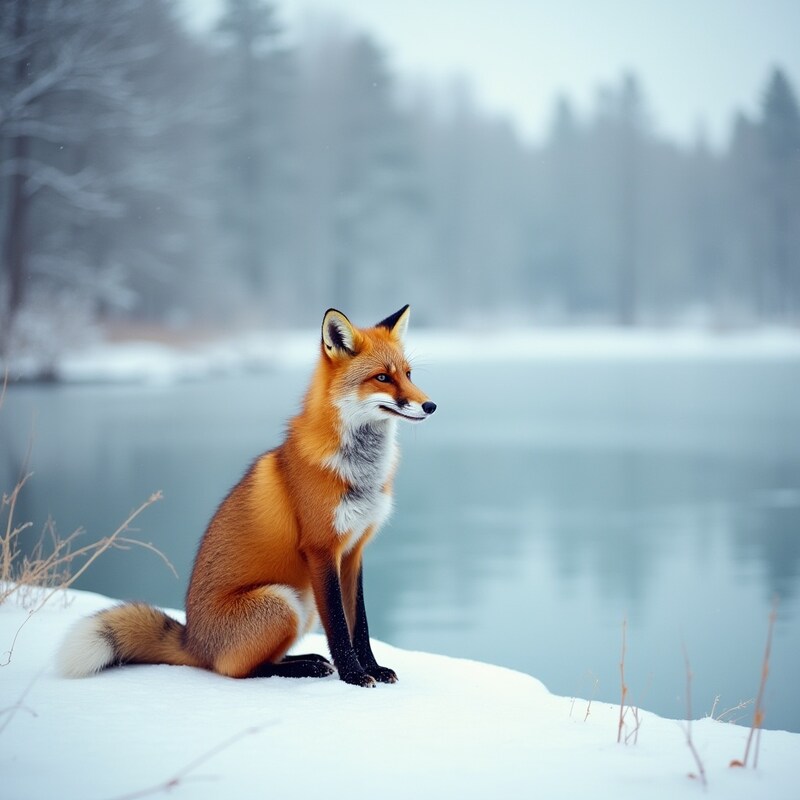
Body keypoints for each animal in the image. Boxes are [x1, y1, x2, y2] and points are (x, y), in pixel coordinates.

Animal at [57, 305, 436, 688]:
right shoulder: (321, 549)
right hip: (283, 602)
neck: (360, 472)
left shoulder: (354, 551)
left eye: (408, 374)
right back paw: (304, 667)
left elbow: (360, 625)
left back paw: (307, 659)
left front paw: (373, 668)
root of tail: (193, 642)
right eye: (382, 378)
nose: (430, 406)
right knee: (238, 670)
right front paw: (354, 676)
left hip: (303, 603)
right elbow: (340, 629)